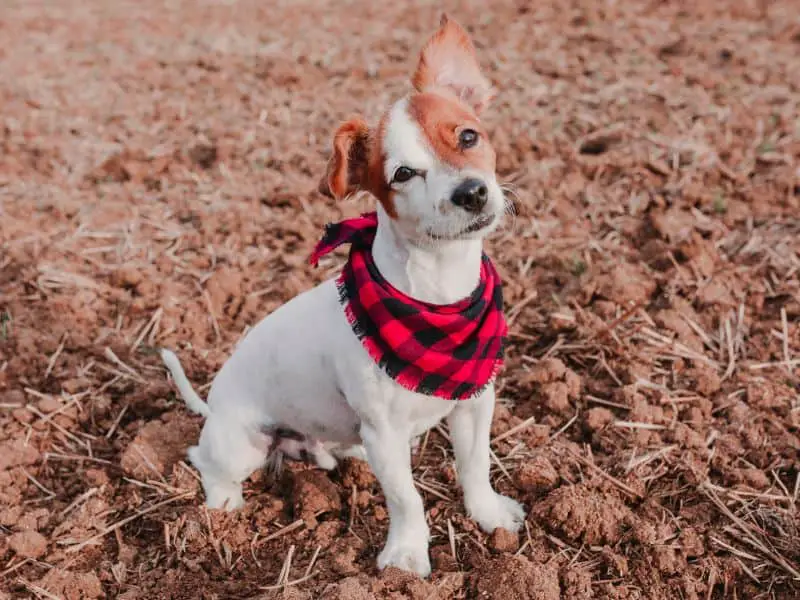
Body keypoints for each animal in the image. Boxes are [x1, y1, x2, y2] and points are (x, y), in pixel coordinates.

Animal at [161, 14, 524, 576]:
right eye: (402, 173)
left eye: (469, 136)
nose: (471, 192)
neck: (437, 294)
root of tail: (214, 406)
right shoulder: (384, 434)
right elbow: (406, 498)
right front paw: (406, 557)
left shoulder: (474, 404)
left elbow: (475, 465)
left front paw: (488, 516)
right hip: (242, 444)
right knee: (204, 460)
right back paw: (223, 505)